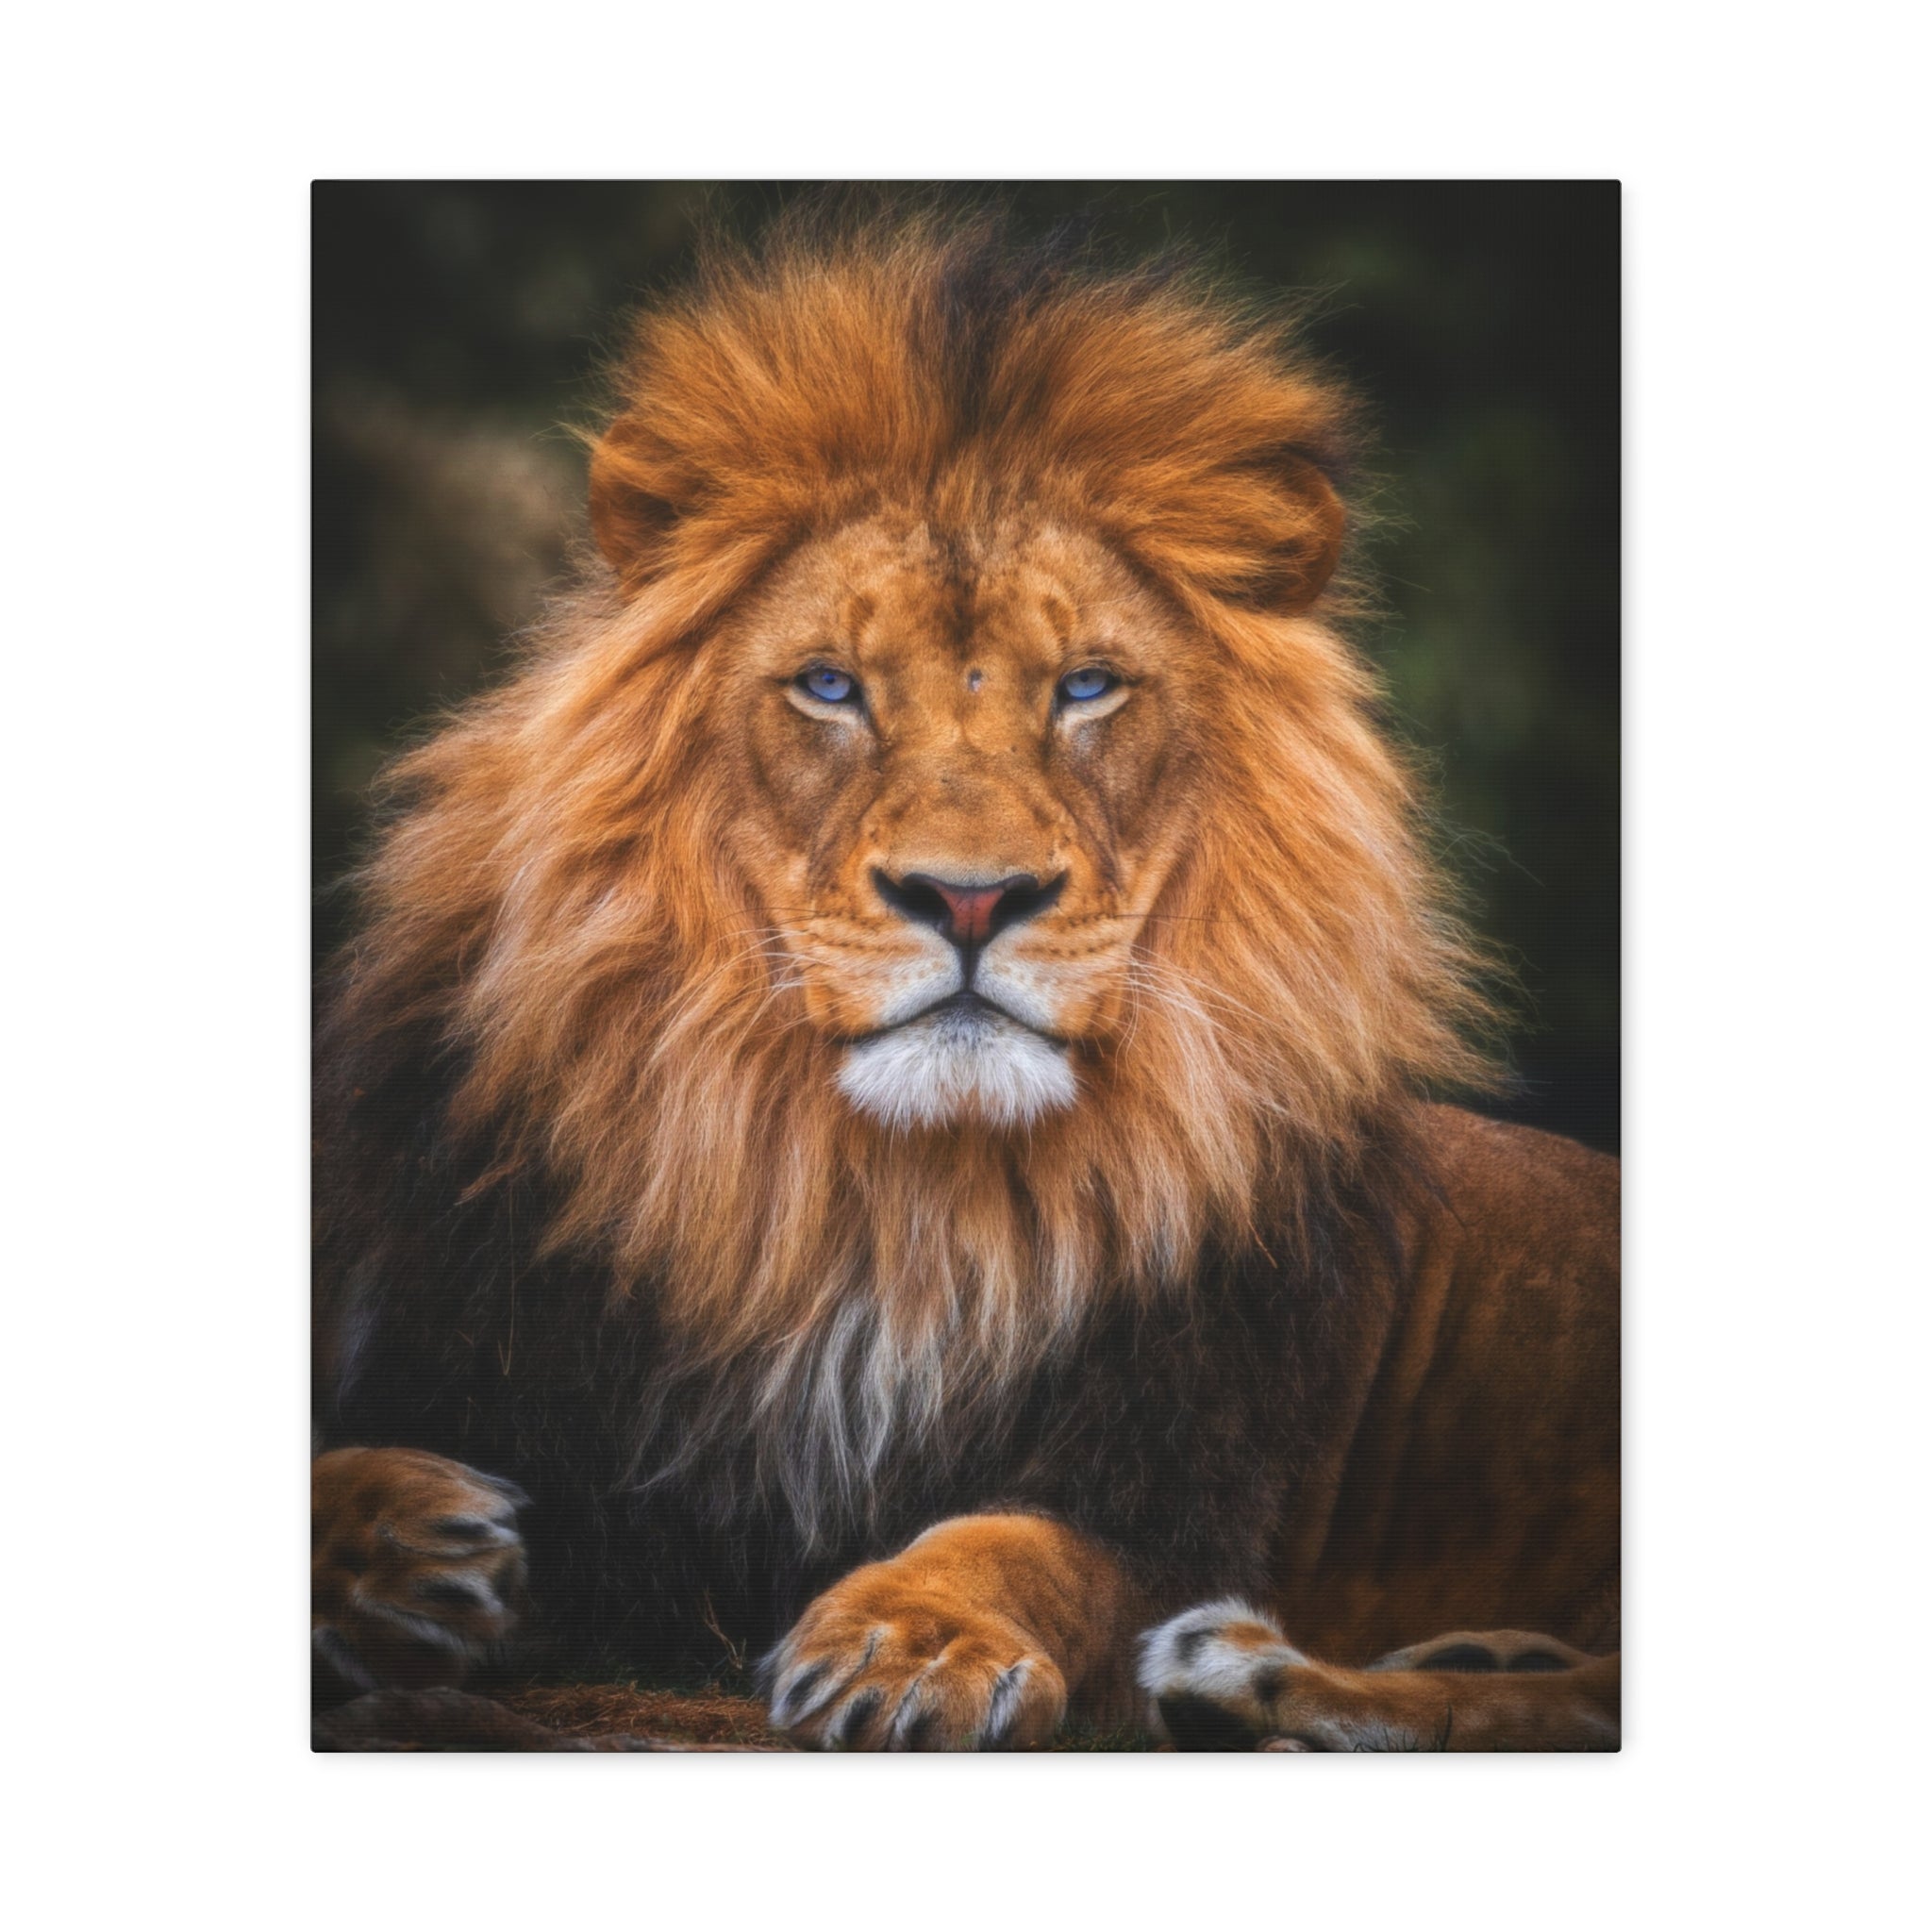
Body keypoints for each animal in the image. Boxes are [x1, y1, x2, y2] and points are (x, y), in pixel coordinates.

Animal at [312, 209, 1619, 1751]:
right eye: (828, 686)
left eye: (1087, 687)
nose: (971, 897)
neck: (884, 1208)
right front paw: (403, 1543)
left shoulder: (1173, 1490)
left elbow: (1016, 1542)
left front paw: (909, 1641)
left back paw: (1250, 1677)